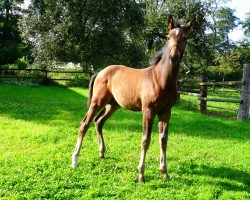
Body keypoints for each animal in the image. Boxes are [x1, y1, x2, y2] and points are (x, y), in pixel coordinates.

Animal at [71, 15, 194, 181]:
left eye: (185, 38)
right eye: (169, 36)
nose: (173, 58)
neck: (161, 80)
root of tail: (100, 72)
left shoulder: (166, 112)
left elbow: (163, 140)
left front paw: (164, 172)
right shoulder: (148, 111)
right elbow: (145, 140)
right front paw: (141, 173)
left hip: (112, 105)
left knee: (98, 122)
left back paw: (102, 152)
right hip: (97, 102)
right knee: (84, 124)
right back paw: (75, 160)